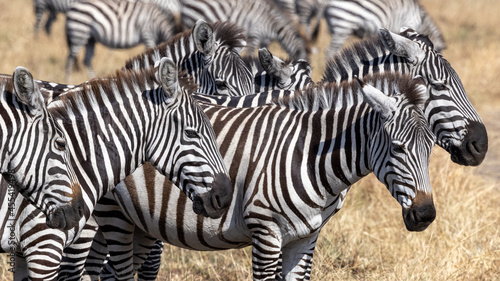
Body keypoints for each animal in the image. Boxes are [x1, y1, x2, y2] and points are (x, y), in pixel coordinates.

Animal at [87, 72, 438, 280]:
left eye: (431, 148)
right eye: (397, 148)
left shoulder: (306, 237)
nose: (425, 215)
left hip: (139, 222)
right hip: (113, 215)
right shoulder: (265, 231)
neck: (310, 157)